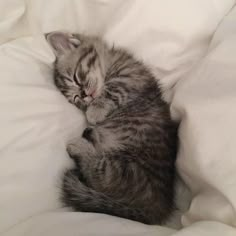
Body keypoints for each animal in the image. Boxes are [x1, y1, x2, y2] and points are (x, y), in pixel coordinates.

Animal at [46, 31, 177, 225]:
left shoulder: (130, 76)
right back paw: (89, 137)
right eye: (76, 99)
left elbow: (113, 89)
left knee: (98, 173)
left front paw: (95, 111)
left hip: (127, 170)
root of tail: (157, 208)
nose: (85, 96)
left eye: (77, 78)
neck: (109, 62)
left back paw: (79, 145)